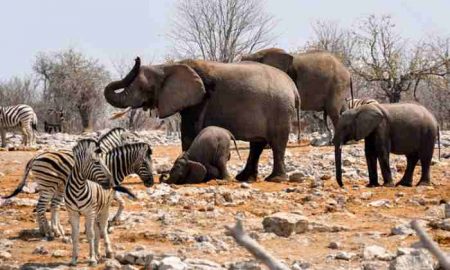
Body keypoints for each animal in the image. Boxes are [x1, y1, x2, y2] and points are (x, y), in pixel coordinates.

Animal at [1, 127, 154, 239]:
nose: (151, 183)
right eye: (145, 164)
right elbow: (116, 203)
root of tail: (36, 156)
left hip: (52, 186)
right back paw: (48, 232)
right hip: (49, 186)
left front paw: (113, 220)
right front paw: (103, 225)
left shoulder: (110, 187)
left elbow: (121, 202)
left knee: (49, 206)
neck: (112, 163)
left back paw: (47, 230)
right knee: (41, 206)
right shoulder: (106, 187)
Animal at [103, 58, 298, 182]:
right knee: (257, 144)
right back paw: (245, 178)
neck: (168, 66)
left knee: (277, 143)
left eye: (144, 87)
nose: (137, 58)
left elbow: (189, 133)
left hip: (280, 109)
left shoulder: (201, 99)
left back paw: (276, 179)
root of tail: (292, 87)